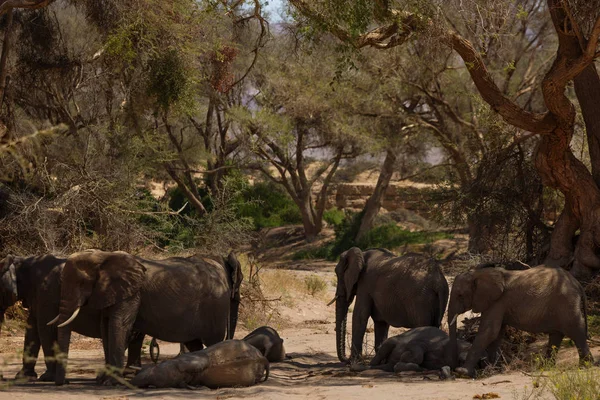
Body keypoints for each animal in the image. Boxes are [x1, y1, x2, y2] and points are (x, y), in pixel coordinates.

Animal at [49, 250, 241, 384]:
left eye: (81, 284)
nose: (64, 383)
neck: (104, 256)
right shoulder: (108, 293)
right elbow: (106, 327)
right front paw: (104, 380)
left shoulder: (131, 293)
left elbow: (118, 325)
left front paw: (110, 382)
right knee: (195, 344)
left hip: (215, 307)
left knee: (213, 340)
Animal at [448, 264, 592, 376]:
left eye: (460, 295)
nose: (453, 369)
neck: (478, 273)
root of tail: (577, 283)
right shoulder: (496, 303)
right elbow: (496, 333)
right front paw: (492, 369)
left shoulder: (498, 302)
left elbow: (489, 332)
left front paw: (463, 372)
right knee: (556, 335)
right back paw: (545, 367)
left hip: (567, 301)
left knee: (575, 329)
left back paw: (585, 366)